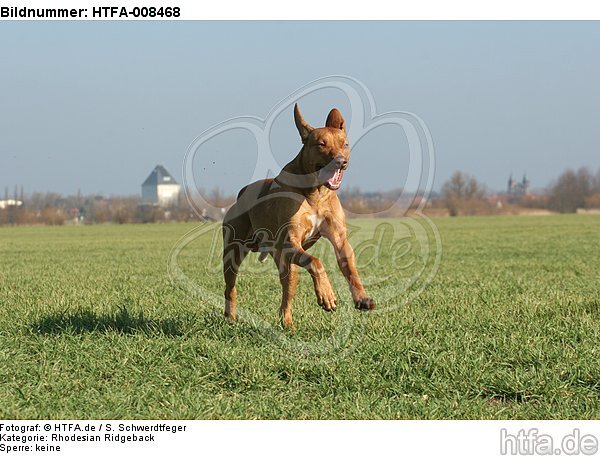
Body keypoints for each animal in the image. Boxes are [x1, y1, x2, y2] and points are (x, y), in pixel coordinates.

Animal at [223, 104, 376, 328]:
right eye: (321, 144)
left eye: (345, 144)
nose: (341, 161)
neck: (316, 193)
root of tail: (242, 193)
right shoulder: (291, 241)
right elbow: (316, 262)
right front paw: (327, 294)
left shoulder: (339, 240)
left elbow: (350, 268)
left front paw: (362, 297)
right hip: (233, 252)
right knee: (230, 288)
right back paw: (230, 317)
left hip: (285, 262)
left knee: (287, 288)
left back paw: (287, 323)